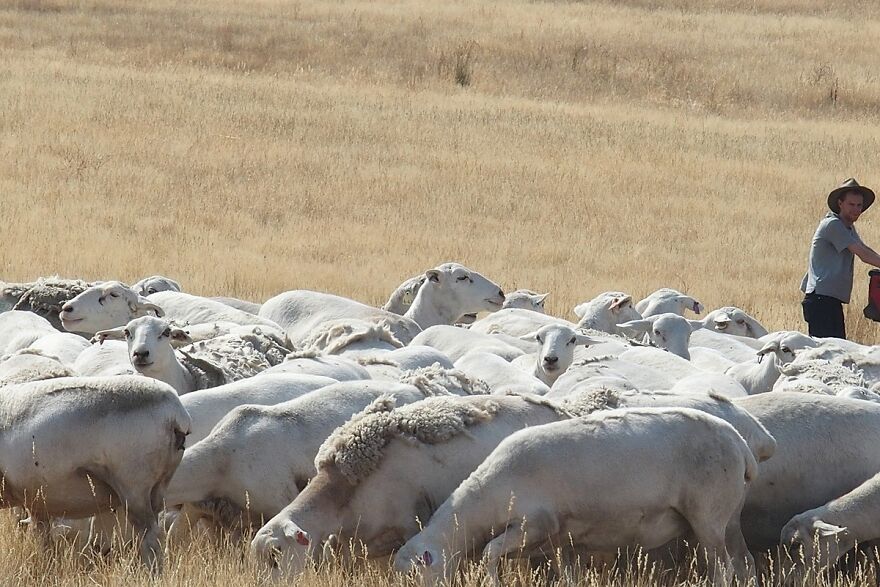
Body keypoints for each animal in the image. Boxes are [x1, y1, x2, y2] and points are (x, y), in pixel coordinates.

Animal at [0, 375, 190, 574]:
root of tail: (175, 414)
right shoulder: (37, 503)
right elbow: (44, 540)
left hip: (134, 487)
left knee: (150, 538)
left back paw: (151, 574)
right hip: (158, 487)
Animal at [394, 407, 762, 585]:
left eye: (412, 577)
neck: (487, 497)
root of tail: (743, 448)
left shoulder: (534, 524)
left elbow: (489, 553)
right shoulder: (563, 538)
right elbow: (568, 573)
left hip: (708, 514)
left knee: (723, 571)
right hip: (729, 516)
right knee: (744, 565)